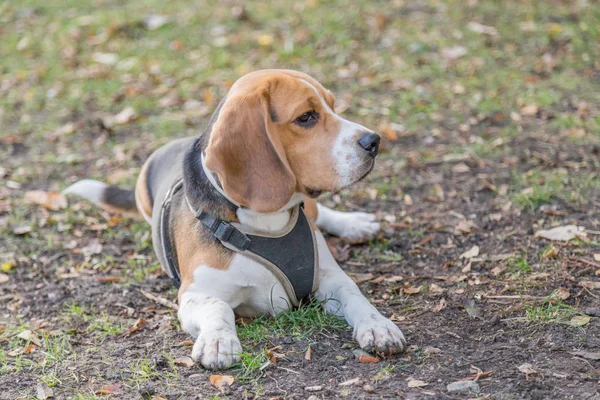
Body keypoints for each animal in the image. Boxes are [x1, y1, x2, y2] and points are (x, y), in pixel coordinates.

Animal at [65, 69, 406, 368]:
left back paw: (355, 224)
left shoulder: (329, 276)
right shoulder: (193, 294)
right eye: (306, 117)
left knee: (321, 213)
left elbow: (354, 293)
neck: (262, 223)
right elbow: (218, 306)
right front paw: (218, 341)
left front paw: (378, 326)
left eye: (333, 107)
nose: (374, 141)